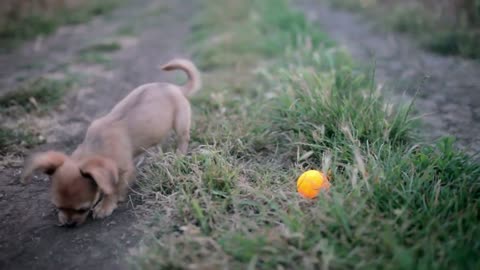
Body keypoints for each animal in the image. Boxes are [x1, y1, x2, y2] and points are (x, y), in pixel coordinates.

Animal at [20, 58, 201, 226]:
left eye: (83, 209)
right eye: (58, 207)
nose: (69, 224)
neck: (96, 146)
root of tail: (176, 88)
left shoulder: (123, 171)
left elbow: (112, 190)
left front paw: (106, 205)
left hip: (181, 124)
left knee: (183, 139)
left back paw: (178, 156)